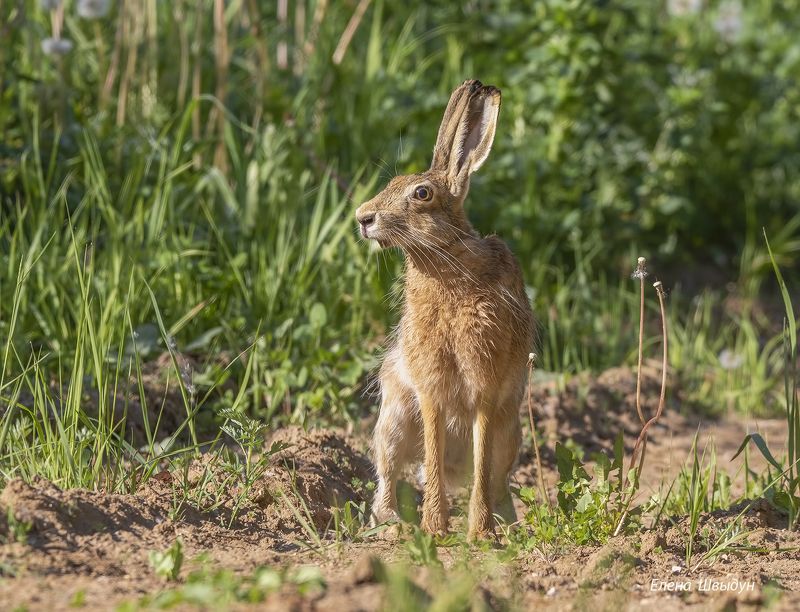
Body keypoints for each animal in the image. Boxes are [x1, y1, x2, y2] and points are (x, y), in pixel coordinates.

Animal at [355, 80, 535, 540]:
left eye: (421, 194)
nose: (363, 218)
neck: (444, 262)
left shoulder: (485, 383)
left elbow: (478, 455)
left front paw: (478, 534)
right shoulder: (429, 387)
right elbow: (432, 452)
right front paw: (435, 528)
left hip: (509, 435)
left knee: (493, 479)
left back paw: (505, 527)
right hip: (393, 422)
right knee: (389, 478)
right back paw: (395, 526)